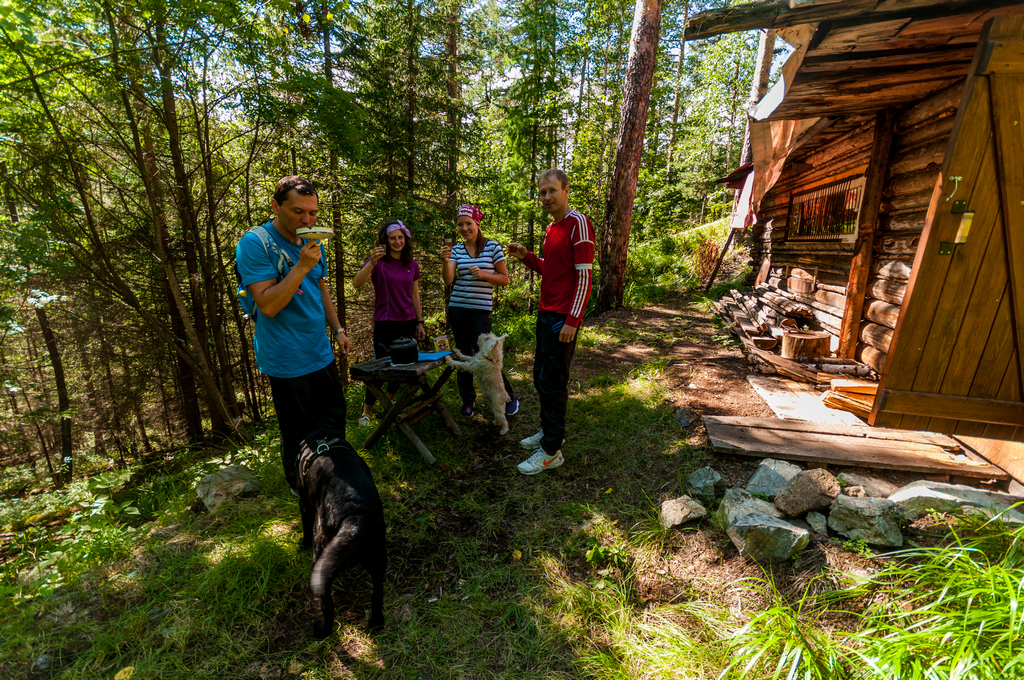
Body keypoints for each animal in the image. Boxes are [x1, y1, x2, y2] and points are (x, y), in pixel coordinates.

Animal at [299, 426, 389, 639]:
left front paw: (302, 544)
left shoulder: (303, 501)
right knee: (377, 595)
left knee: (327, 605)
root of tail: (356, 517)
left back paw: (322, 631)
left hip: (320, 554)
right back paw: (376, 624)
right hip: (378, 559)